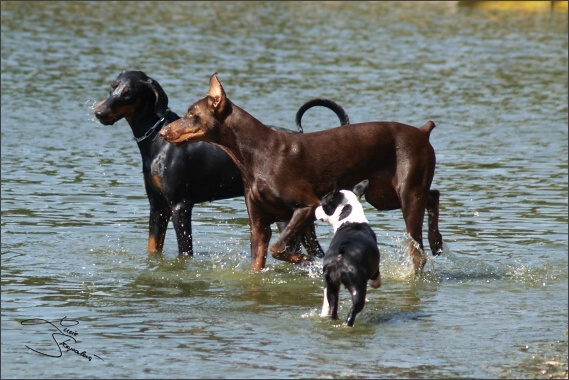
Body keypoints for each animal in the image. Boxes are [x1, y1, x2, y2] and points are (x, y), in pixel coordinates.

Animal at [316, 179, 382, 326]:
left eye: (322, 204)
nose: (315, 209)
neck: (349, 219)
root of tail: (340, 256)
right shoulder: (375, 268)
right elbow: (377, 277)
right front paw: (375, 284)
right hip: (357, 286)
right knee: (352, 312)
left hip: (332, 285)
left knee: (333, 308)